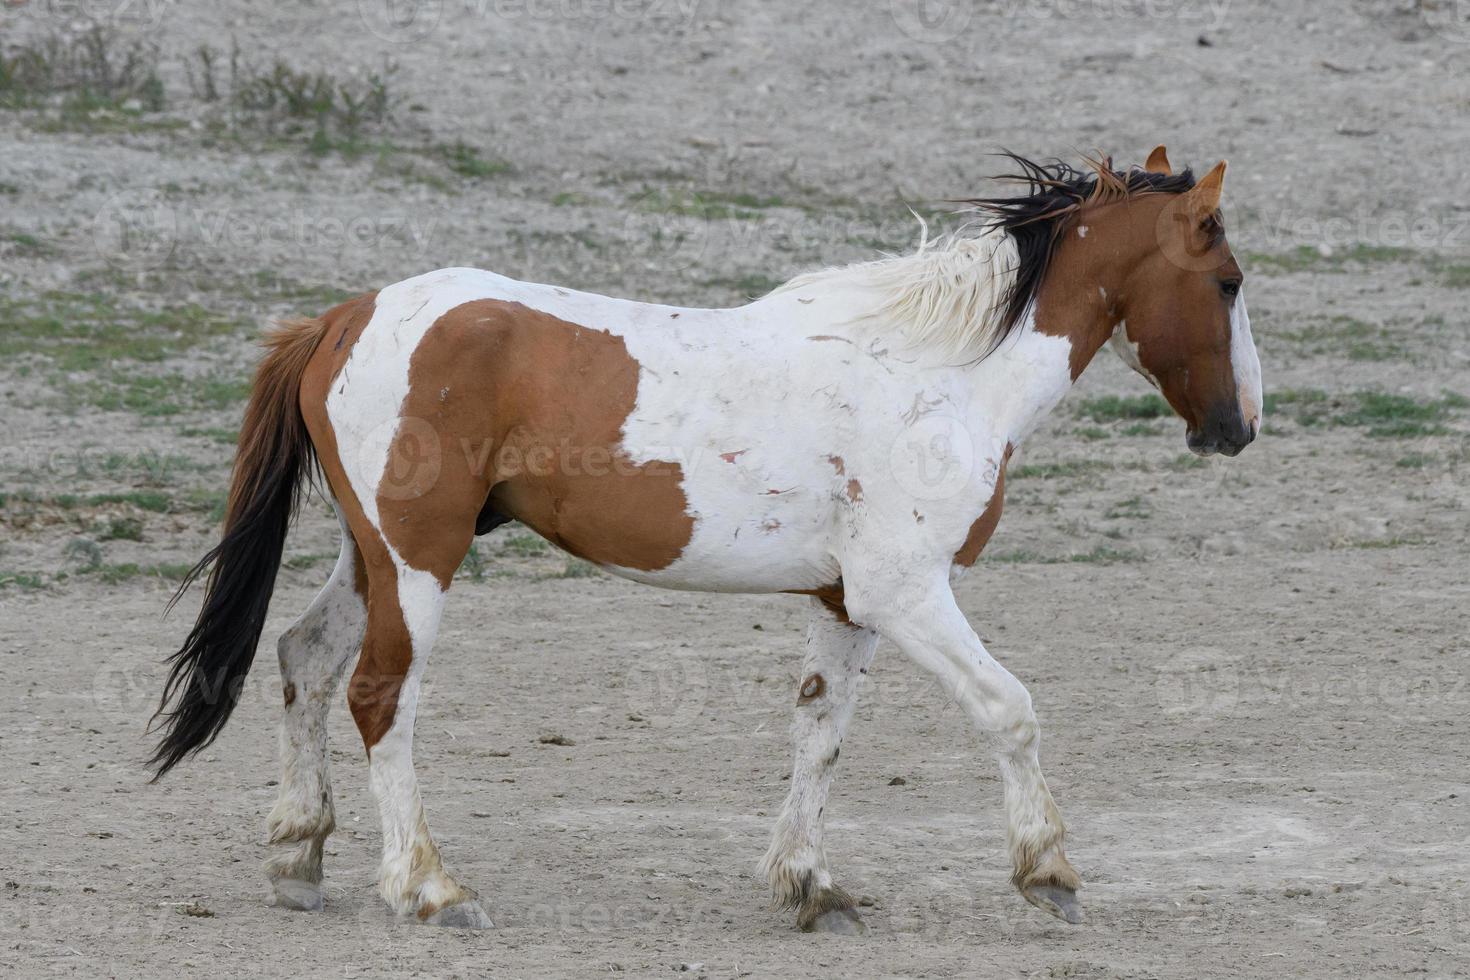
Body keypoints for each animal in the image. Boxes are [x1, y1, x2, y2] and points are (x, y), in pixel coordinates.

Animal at [155, 147, 1270, 934]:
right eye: (1226, 281)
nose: (1240, 426)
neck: (940, 375)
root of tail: (346, 317)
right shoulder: (909, 592)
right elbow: (1010, 711)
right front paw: (1049, 871)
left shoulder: (847, 602)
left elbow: (820, 734)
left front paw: (810, 884)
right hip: (419, 558)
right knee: (380, 697)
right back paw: (428, 887)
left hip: (372, 554)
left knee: (302, 661)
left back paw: (299, 857)